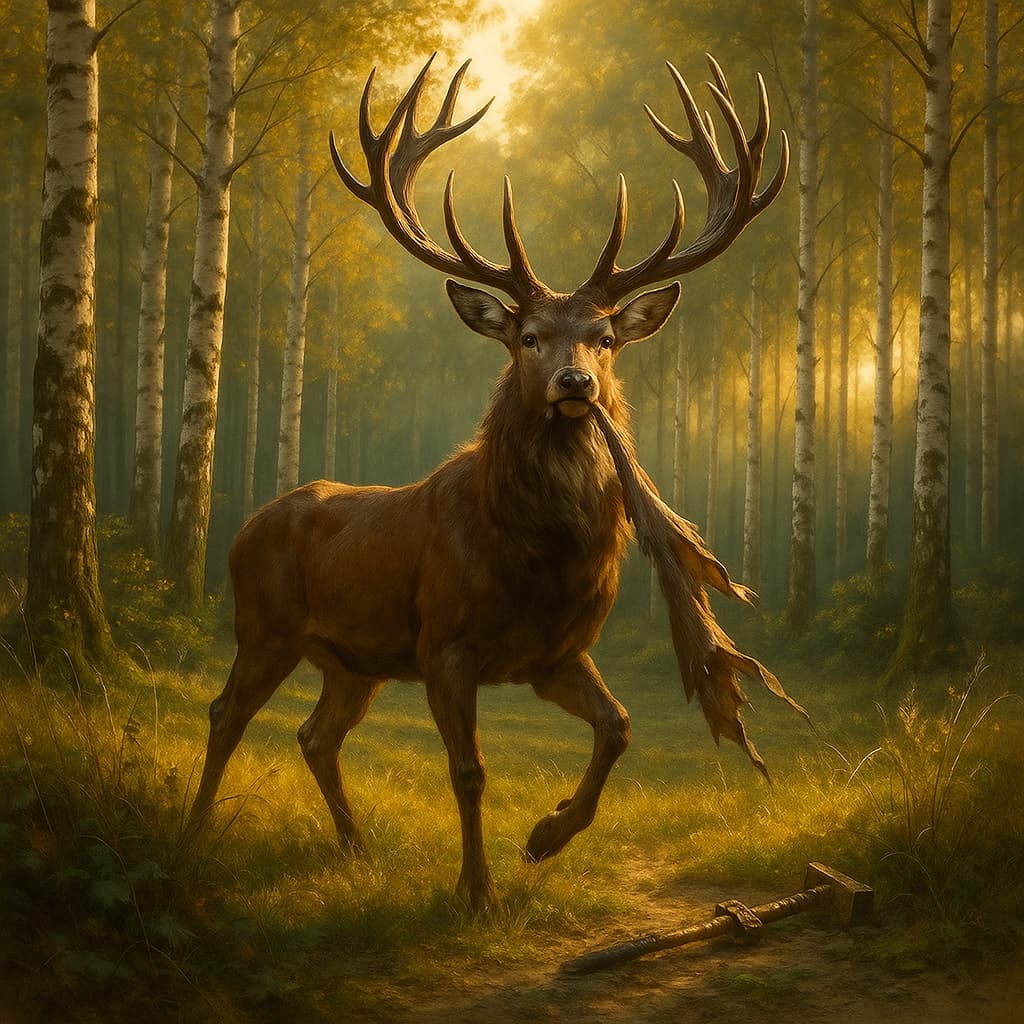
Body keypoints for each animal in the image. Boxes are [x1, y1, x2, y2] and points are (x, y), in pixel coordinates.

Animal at [186, 54, 789, 912]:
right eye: (528, 336)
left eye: (605, 338)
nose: (576, 383)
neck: (534, 558)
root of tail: (244, 527)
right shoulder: (446, 642)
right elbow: (468, 771)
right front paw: (478, 891)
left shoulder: (555, 652)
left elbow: (619, 725)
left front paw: (545, 836)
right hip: (263, 624)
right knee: (224, 712)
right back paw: (192, 836)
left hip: (351, 659)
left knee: (315, 735)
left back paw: (357, 847)